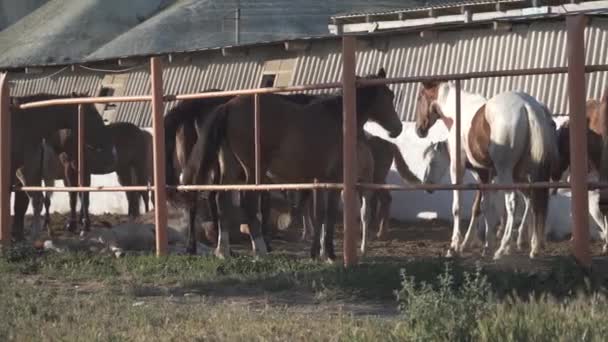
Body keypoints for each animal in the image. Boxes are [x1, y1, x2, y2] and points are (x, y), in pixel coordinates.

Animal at [416, 82, 560, 260]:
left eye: (420, 97)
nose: (419, 129)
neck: (459, 112)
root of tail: (528, 106)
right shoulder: (486, 175)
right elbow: (483, 207)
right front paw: (481, 244)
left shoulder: (460, 167)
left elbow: (460, 206)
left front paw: (456, 246)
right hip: (528, 173)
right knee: (534, 201)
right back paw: (533, 246)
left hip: (507, 172)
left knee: (513, 202)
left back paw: (504, 248)